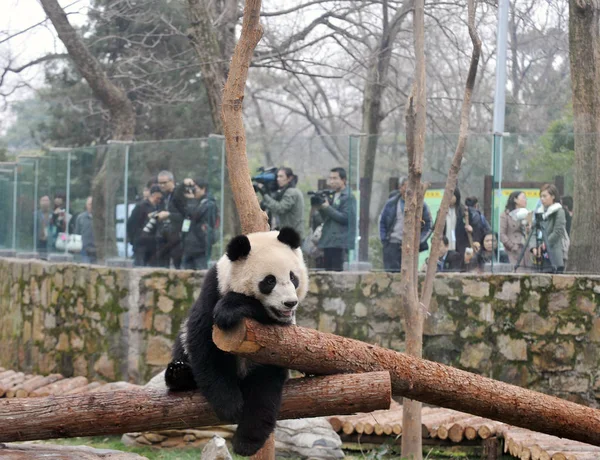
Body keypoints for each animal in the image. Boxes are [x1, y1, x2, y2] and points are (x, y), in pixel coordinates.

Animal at [163, 226, 308, 456]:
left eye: (293, 277)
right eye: (269, 281)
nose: (290, 303)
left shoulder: (280, 334)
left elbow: (264, 386)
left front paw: (246, 442)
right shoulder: (213, 291)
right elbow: (204, 343)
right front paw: (230, 406)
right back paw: (179, 374)